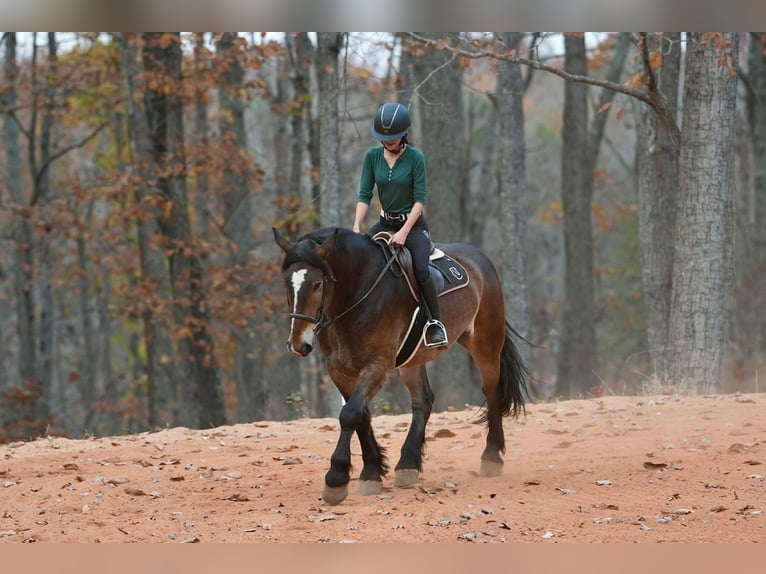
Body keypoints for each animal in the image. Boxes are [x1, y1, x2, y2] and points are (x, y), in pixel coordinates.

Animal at [273, 226, 528, 505]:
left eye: (318, 283)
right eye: (286, 282)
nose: (298, 344)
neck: (357, 294)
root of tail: (480, 258)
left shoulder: (377, 366)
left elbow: (350, 414)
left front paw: (336, 479)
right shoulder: (339, 371)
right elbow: (361, 416)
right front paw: (371, 472)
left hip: (485, 343)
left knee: (492, 391)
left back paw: (491, 457)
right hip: (413, 359)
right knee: (423, 401)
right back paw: (408, 465)